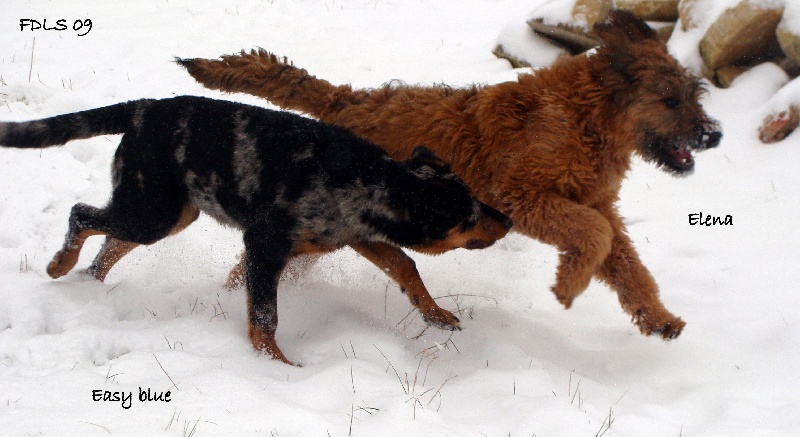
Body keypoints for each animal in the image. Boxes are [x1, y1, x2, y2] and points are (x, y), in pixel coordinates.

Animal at [0, 95, 512, 364]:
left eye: (475, 198)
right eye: (467, 216)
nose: (508, 219)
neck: (369, 180)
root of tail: (143, 107)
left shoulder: (356, 237)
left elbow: (406, 267)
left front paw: (436, 314)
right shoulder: (265, 244)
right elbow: (265, 315)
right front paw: (277, 365)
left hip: (168, 211)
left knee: (108, 242)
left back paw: (89, 284)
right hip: (153, 213)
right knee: (82, 214)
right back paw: (59, 264)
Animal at [177, 10, 722, 340]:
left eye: (694, 93)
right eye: (668, 100)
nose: (712, 135)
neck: (584, 117)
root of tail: (348, 103)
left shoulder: (595, 204)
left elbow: (624, 260)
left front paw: (658, 317)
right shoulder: (525, 194)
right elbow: (594, 235)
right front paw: (568, 287)